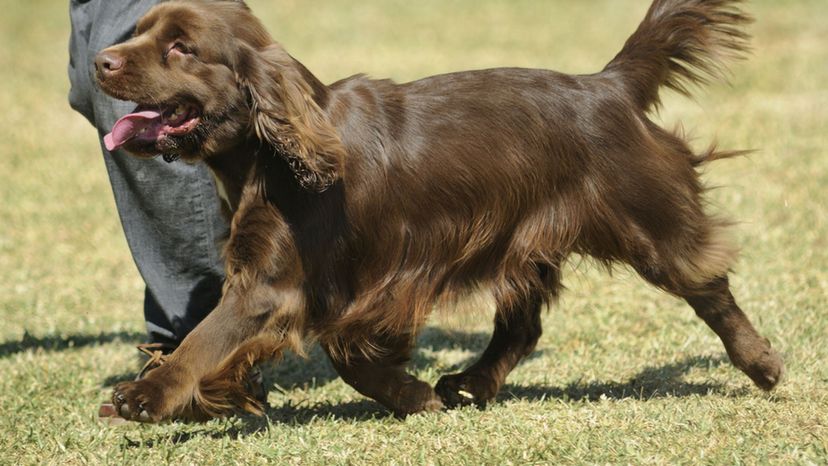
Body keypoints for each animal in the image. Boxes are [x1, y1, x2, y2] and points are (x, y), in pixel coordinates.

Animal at [95, 0, 784, 422]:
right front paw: (415, 395)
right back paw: (470, 383)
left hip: (646, 222)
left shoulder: (275, 284)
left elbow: (207, 337)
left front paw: (145, 394)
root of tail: (610, 84)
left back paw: (763, 364)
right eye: (141, 31)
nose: (102, 60)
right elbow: (344, 356)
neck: (271, 156)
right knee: (523, 326)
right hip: (521, 240)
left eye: (181, 47)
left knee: (708, 284)